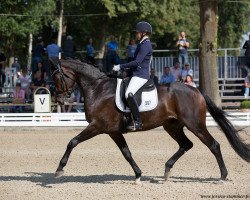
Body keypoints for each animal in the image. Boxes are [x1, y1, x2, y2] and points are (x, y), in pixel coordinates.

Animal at [49, 57, 249, 184]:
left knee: (213, 145)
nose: (59, 99)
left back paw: (222, 176)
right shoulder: (113, 131)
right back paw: (167, 170)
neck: (98, 88)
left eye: (57, 77)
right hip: (172, 126)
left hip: (195, 125)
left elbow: (72, 141)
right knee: (186, 144)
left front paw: (59, 169)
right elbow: (127, 153)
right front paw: (138, 175)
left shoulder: (97, 126)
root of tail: (197, 90)